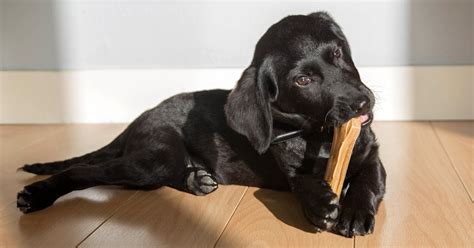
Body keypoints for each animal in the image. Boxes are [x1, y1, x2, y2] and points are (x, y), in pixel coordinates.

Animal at [17, 12, 386, 237]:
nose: (362, 102)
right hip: (155, 158)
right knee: (87, 172)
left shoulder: (372, 155)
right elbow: (303, 182)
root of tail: (141, 117)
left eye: (338, 53)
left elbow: (369, 181)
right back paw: (37, 195)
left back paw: (196, 180)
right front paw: (320, 203)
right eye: (303, 80)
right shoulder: (291, 169)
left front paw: (355, 212)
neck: (318, 134)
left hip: (159, 166)